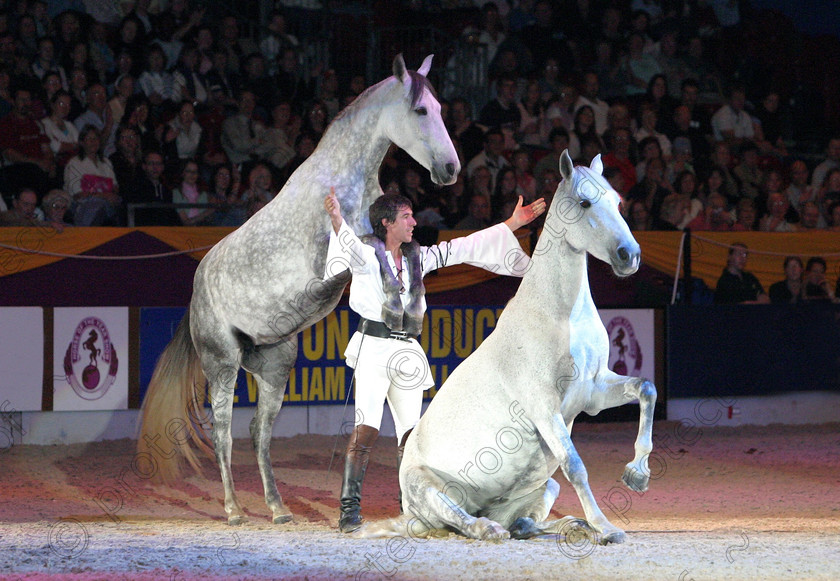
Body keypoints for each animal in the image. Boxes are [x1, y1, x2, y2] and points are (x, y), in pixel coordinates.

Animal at [136, 55, 460, 524]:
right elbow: (375, 252)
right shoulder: (339, 256)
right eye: (420, 111)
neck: (343, 181)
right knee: (222, 434)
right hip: (222, 364)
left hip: (274, 367)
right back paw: (234, 509)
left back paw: (277, 508)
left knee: (259, 432)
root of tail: (196, 290)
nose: (450, 170)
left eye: (439, 108)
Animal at [358, 150, 660, 544]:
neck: (558, 315)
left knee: (524, 522)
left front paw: (636, 474)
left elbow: (646, 389)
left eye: (617, 201)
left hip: (542, 489)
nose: (630, 255)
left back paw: (567, 525)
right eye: (584, 202)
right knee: (461, 519)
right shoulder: (545, 409)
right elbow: (575, 466)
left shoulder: (592, 393)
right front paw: (606, 528)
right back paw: (490, 528)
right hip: (426, 488)